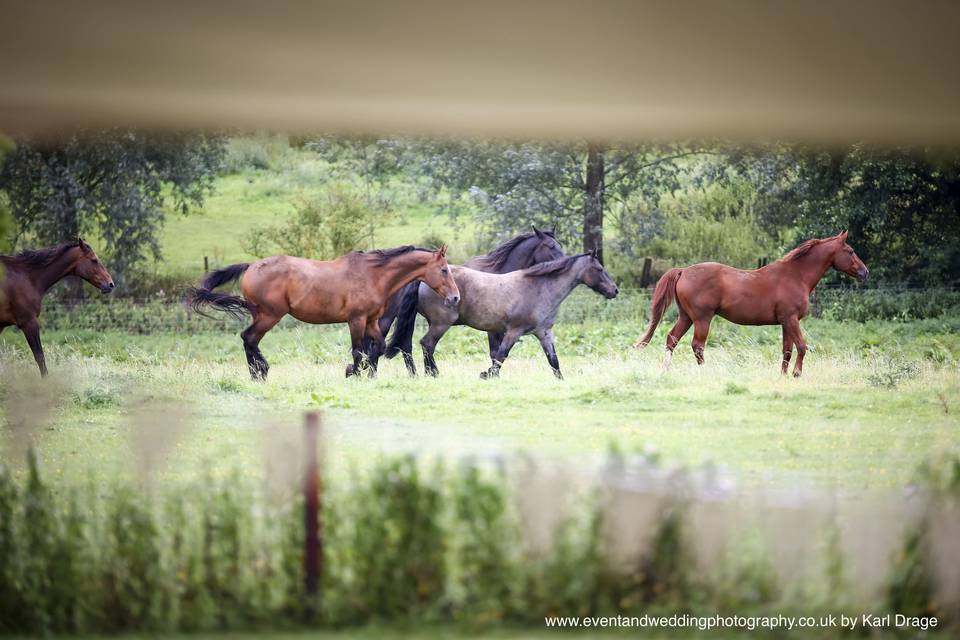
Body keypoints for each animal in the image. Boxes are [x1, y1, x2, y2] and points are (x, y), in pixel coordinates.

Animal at [189, 246, 460, 380]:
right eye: (444, 270)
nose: (455, 298)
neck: (374, 275)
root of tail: (251, 266)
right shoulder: (356, 320)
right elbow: (357, 351)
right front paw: (352, 372)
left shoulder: (371, 320)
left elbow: (378, 348)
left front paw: (361, 372)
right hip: (269, 316)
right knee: (248, 338)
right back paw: (260, 373)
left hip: (264, 316)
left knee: (249, 340)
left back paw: (259, 372)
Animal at [390, 250, 624, 380]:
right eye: (600, 269)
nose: (614, 290)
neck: (538, 288)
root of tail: (422, 279)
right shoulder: (513, 331)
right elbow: (500, 356)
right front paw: (487, 375)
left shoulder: (544, 333)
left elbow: (553, 360)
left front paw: (561, 382)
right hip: (441, 324)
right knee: (427, 344)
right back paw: (433, 374)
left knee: (413, 346)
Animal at [636, 232, 872, 376]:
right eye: (850, 251)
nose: (865, 272)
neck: (796, 275)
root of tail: (683, 270)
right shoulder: (792, 320)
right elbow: (802, 347)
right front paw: (796, 374)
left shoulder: (786, 323)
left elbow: (787, 350)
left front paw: (783, 376)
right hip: (702, 319)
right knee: (697, 346)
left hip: (686, 317)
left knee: (672, 339)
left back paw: (665, 371)